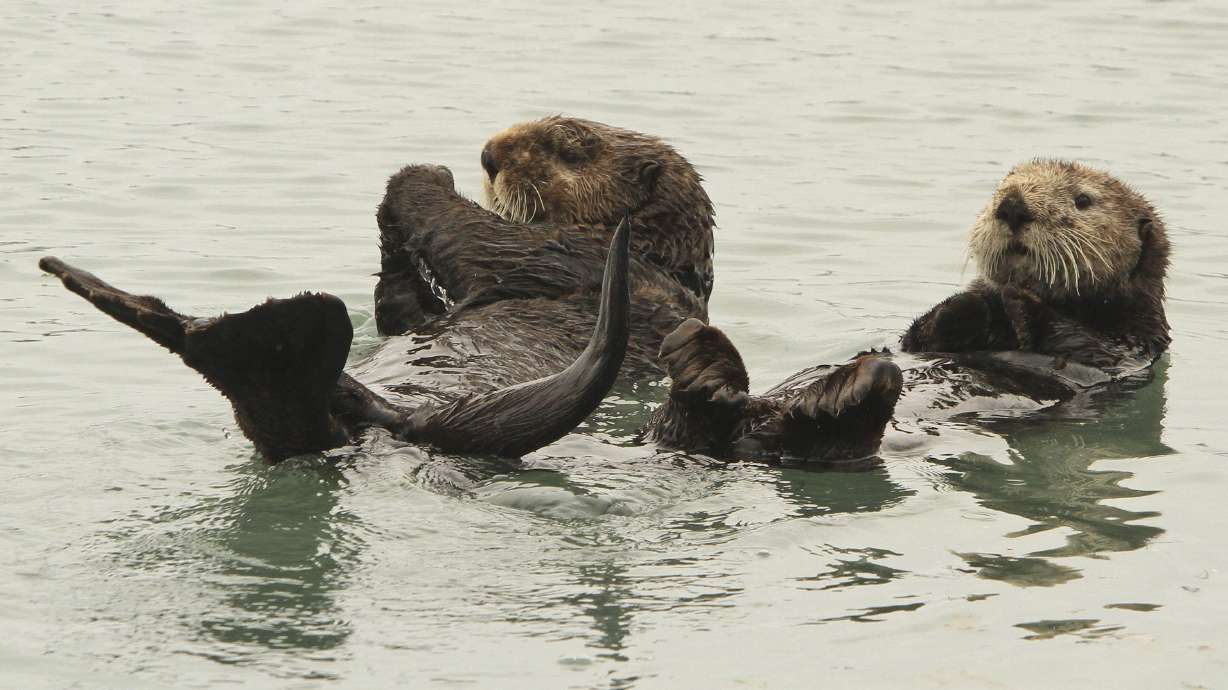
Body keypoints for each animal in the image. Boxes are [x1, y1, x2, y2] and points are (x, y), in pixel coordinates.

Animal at [646, 160, 1169, 462]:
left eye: (1083, 200)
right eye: (1003, 186)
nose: (1013, 205)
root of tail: (751, 440)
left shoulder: (1129, 348)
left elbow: (1077, 342)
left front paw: (1014, 301)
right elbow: (920, 334)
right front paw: (969, 303)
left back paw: (844, 392)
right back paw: (700, 360)